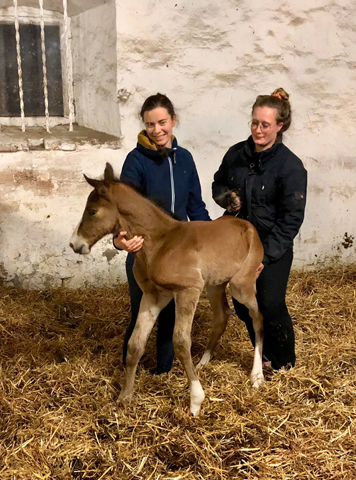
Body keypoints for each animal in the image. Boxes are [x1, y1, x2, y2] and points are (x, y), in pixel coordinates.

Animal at [70, 163, 264, 414]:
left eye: (92, 211)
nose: (75, 244)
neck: (161, 243)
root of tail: (246, 223)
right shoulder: (153, 295)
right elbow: (135, 344)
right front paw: (125, 396)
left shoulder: (187, 290)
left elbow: (181, 342)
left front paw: (196, 401)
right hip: (215, 285)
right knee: (222, 315)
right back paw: (203, 362)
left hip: (242, 285)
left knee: (257, 317)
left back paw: (257, 376)